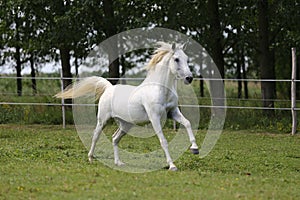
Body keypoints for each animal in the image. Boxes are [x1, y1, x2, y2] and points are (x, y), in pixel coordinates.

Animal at [55, 41, 199, 170]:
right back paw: (90, 158)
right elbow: (163, 141)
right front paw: (172, 165)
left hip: (126, 124)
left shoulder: (173, 112)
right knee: (96, 135)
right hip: (103, 120)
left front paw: (195, 148)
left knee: (114, 139)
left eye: (186, 59)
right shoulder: (155, 118)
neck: (159, 88)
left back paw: (118, 163)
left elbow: (187, 123)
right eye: (176, 59)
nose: (189, 78)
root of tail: (109, 88)